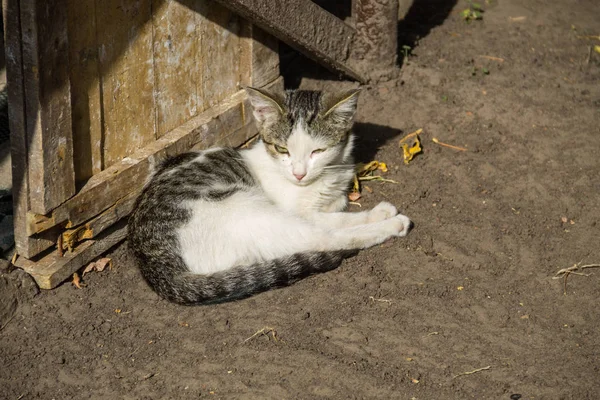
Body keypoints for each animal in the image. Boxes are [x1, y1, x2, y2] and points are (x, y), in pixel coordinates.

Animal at [128, 86, 410, 304]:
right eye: (282, 149)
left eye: (317, 151)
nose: (299, 173)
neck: (327, 176)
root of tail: (155, 266)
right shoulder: (297, 210)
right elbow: (336, 220)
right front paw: (381, 215)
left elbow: (337, 207)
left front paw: (373, 211)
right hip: (244, 208)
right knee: (323, 239)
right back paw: (392, 225)